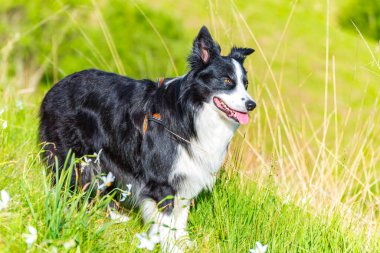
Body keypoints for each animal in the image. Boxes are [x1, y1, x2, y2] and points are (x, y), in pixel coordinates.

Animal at [38, 25, 255, 251]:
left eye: (246, 84)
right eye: (227, 81)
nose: (251, 105)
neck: (190, 112)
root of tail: (55, 87)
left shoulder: (185, 170)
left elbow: (180, 216)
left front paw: (182, 242)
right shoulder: (161, 179)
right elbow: (167, 219)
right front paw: (170, 247)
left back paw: (114, 217)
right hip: (69, 154)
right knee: (67, 183)